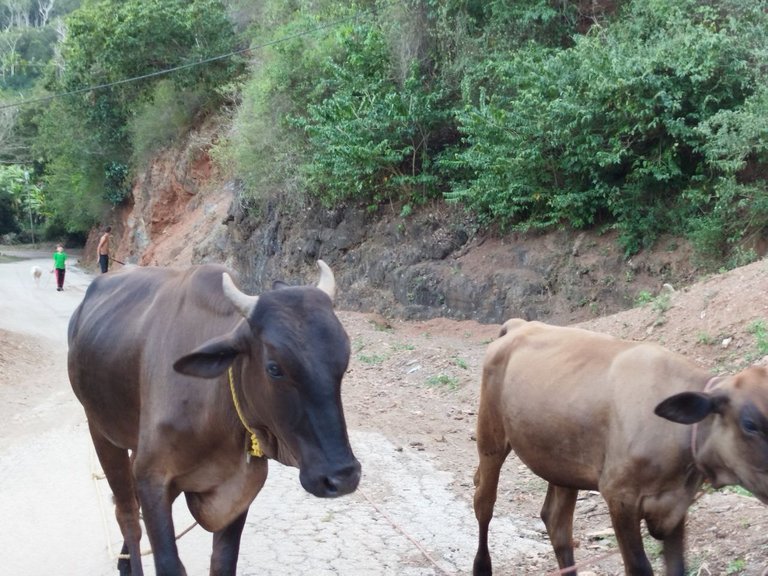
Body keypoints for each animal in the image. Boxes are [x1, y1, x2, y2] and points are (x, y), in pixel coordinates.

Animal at [67, 262, 362, 576]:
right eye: (274, 368)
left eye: (343, 362)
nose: (342, 476)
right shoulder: (153, 477)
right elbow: (167, 561)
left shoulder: (238, 488)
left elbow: (223, 562)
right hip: (100, 430)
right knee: (128, 515)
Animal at [474, 320, 768, 576]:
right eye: (750, 424)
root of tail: (521, 323)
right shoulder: (620, 497)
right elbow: (639, 568)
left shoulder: (675, 505)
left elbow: (677, 567)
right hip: (491, 439)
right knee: (484, 503)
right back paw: (481, 565)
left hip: (561, 463)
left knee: (556, 523)